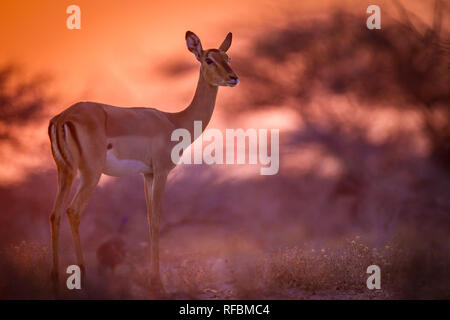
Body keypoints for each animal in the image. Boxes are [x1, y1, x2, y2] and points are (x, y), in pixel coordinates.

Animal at [47, 31, 239, 294]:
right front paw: (157, 283)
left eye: (227, 57)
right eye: (208, 59)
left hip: (65, 172)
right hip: (89, 174)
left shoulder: (146, 174)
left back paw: (55, 279)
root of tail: (62, 118)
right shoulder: (161, 171)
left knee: (55, 214)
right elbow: (156, 221)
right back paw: (83, 278)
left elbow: (148, 221)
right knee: (73, 211)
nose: (233, 78)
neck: (174, 121)